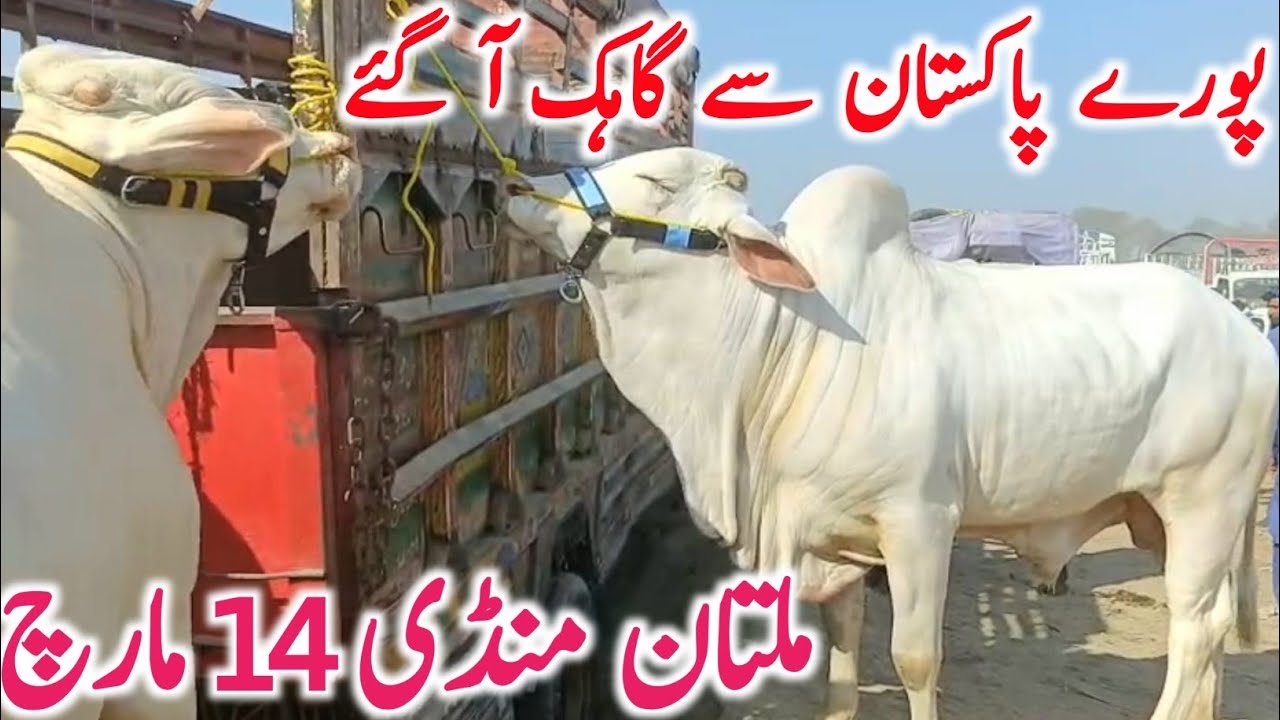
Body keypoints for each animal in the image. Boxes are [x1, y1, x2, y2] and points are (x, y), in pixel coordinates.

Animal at [502, 148, 1277, 720]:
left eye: (658, 181)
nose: (518, 187)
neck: (787, 345)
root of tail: (1244, 330)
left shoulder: (920, 523)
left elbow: (915, 658)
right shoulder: (832, 539)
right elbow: (844, 652)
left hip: (1204, 505)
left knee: (1195, 629)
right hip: (1160, 519)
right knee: (1208, 631)